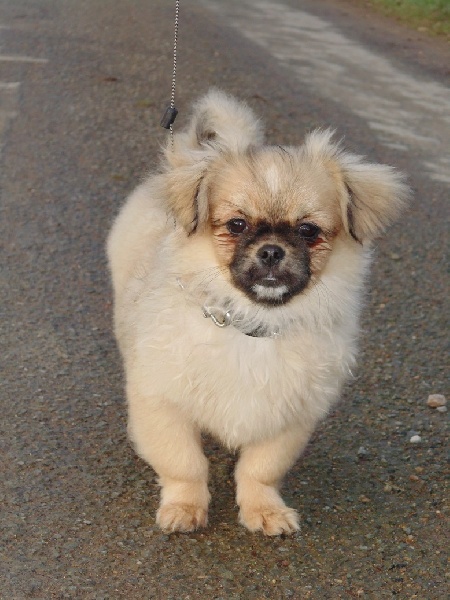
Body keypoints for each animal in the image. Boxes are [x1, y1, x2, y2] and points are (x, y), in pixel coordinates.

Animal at [107, 89, 409, 535]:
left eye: (308, 231)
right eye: (237, 225)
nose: (270, 250)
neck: (254, 326)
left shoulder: (289, 418)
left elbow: (260, 470)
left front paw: (264, 511)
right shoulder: (162, 402)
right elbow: (184, 463)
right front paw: (184, 508)